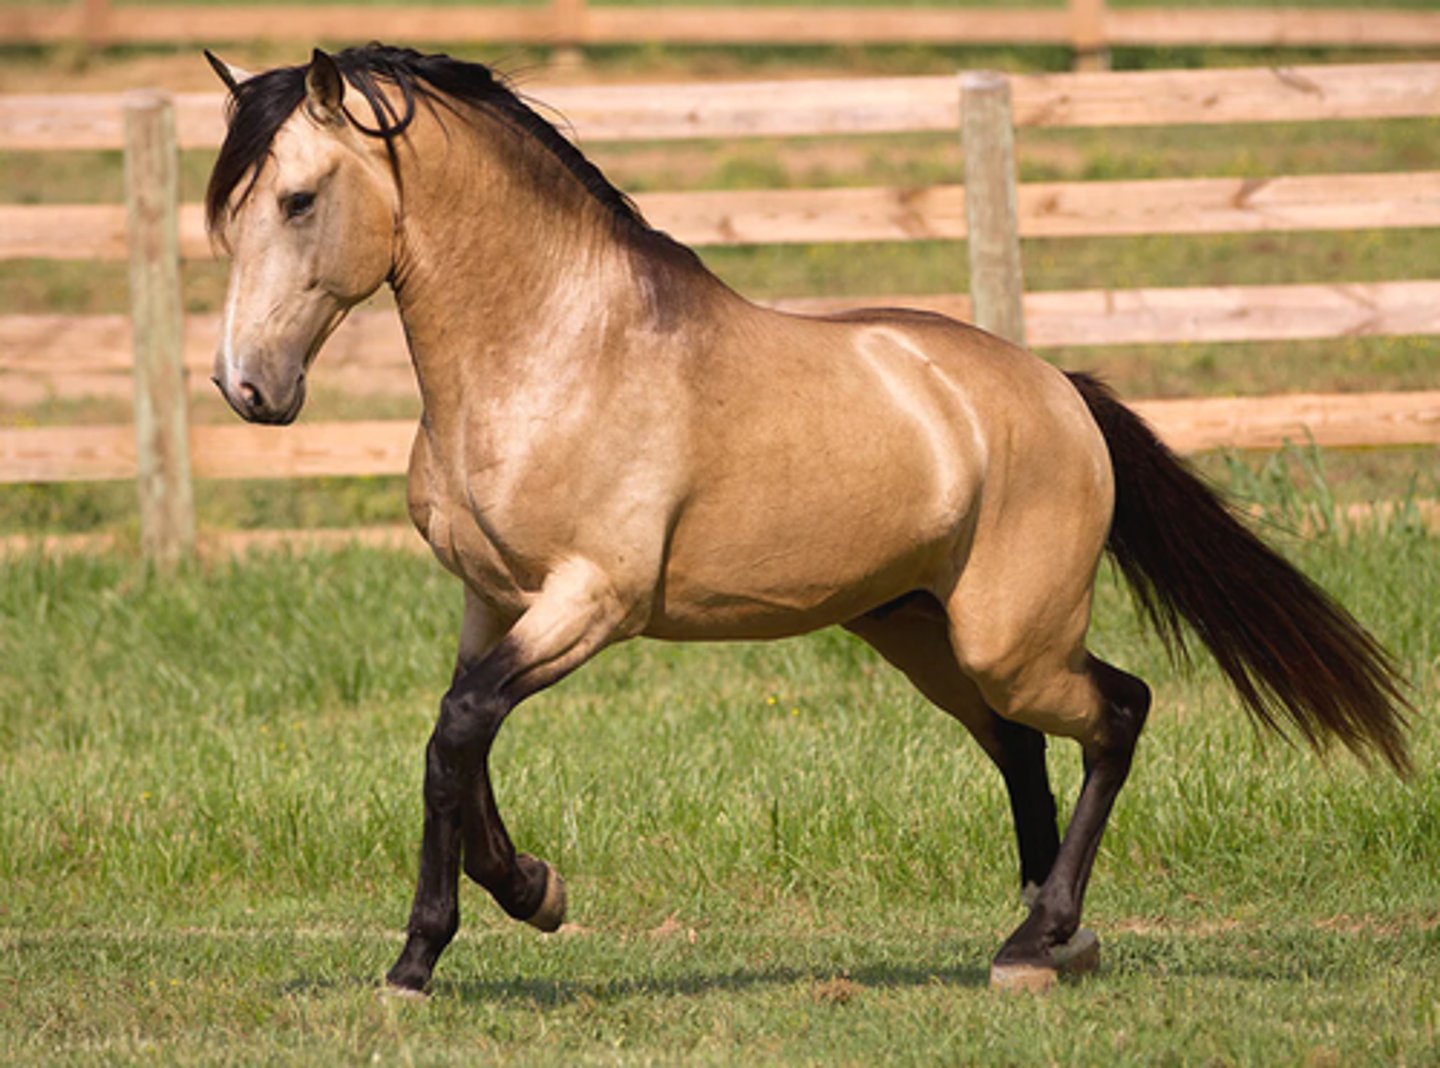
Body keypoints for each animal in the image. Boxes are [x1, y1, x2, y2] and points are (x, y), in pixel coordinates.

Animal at [202, 44, 1412, 996]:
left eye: (298, 200)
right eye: (230, 215)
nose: (246, 388)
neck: (557, 350)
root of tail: (1059, 392)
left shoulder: (595, 600)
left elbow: (457, 732)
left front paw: (422, 957)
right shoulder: (494, 600)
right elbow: (462, 735)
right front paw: (531, 892)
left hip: (1009, 639)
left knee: (1118, 713)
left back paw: (1043, 937)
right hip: (917, 629)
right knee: (1020, 743)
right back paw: (1043, 937)